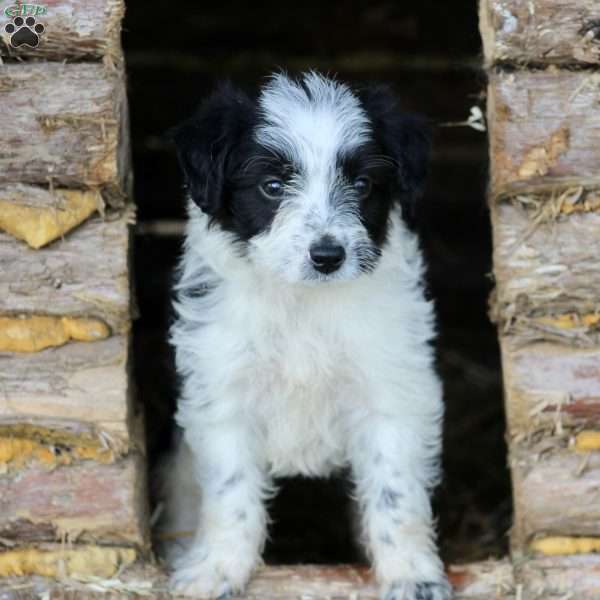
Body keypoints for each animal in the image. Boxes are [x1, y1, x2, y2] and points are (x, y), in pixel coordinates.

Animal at [159, 71, 450, 600]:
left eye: (362, 184)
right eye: (272, 187)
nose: (328, 256)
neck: (302, 303)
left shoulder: (393, 391)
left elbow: (394, 492)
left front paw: (412, 575)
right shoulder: (222, 393)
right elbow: (231, 492)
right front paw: (217, 569)